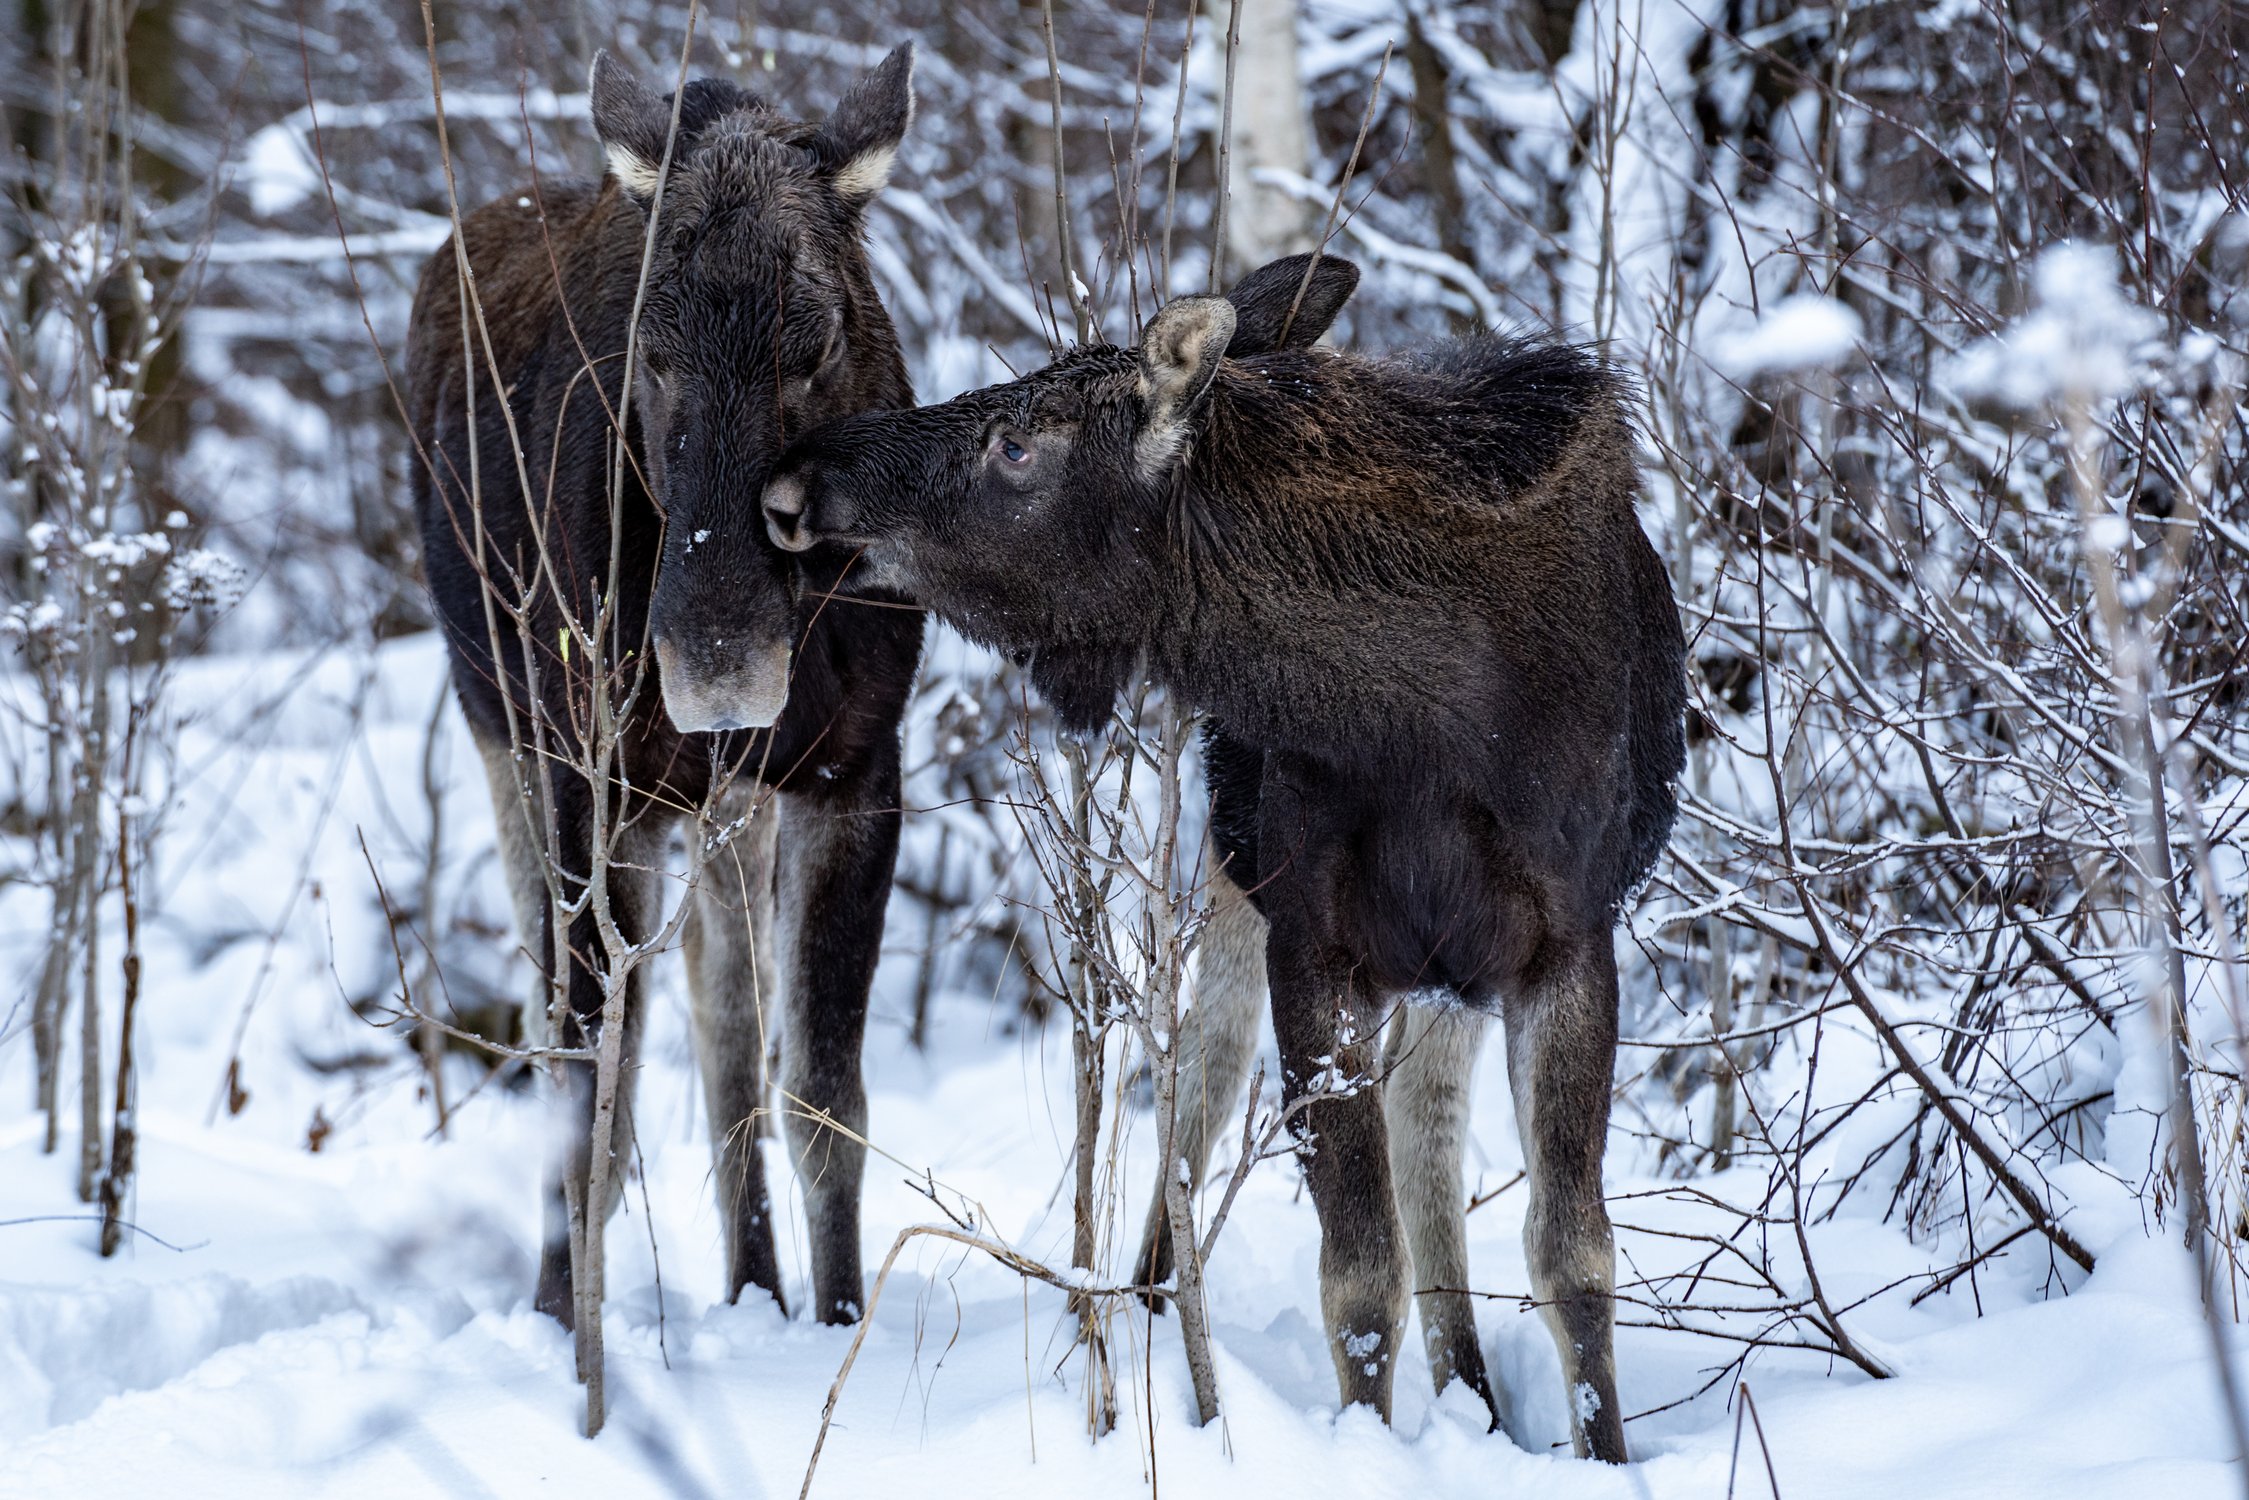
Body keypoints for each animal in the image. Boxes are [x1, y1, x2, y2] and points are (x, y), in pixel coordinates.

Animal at [407, 46, 922, 1331]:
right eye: (649, 348)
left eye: (819, 340)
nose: (718, 664)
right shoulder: (590, 777)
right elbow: (592, 1081)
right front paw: (562, 1324)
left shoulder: (854, 763)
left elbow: (821, 1095)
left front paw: (838, 1319)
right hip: (504, 730)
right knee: (572, 1021)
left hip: (719, 798)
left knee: (725, 1027)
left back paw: (757, 1284)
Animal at [764, 275, 1682, 1457]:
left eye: (1017, 443)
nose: (796, 477)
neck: (1434, 725)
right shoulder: (1313, 937)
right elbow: (1358, 1275)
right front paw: (1368, 1441)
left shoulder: (1567, 942)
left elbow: (1573, 1257)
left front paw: (1602, 1453)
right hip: (1235, 875)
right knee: (1201, 1093)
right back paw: (1164, 1310)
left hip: (1441, 963)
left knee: (1424, 1123)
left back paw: (1472, 1394)